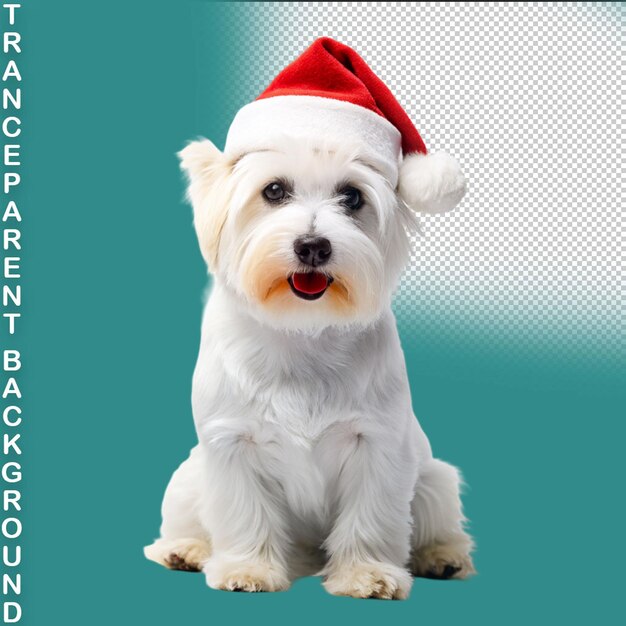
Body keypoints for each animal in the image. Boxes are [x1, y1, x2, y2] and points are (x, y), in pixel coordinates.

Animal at [143, 36, 472, 596]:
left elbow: (370, 517)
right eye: (274, 190)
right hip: (188, 478)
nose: (313, 246)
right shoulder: (232, 443)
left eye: (352, 196)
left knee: (435, 517)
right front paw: (248, 569)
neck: (301, 332)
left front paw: (366, 573)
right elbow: (245, 512)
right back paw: (186, 550)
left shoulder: (378, 445)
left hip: (433, 479)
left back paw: (443, 557)